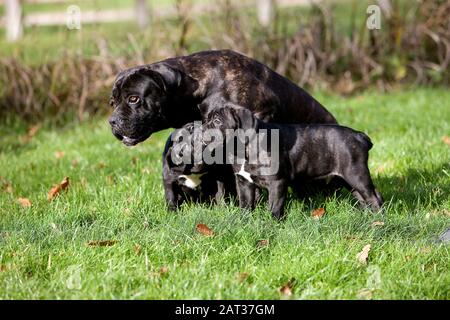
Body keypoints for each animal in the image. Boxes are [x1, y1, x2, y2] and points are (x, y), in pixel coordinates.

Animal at [204, 105, 384, 220]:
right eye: (206, 119)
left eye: (218, 121)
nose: (203, 127)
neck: (243, 148)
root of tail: (359, 136)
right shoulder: (244, 183)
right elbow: (246, 204)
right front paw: (244, 221)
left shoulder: (276, 183)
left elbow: (274, 207)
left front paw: (272, 224)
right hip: (347, 179)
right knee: (363, 197)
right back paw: (368, 218)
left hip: (356, 174)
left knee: (374, 197)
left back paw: (378, 222)